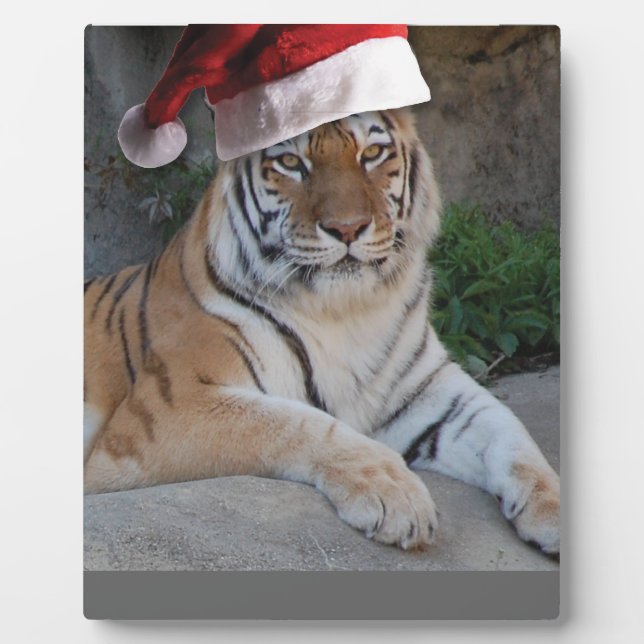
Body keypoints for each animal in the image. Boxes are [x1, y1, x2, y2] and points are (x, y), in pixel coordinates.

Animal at [84, 108, 560, 555]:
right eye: (291, 162)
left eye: (372, 153)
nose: (347, 228)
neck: (347, 310)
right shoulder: (168, 409)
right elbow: (296, 422)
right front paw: (396, 495)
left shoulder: (430, 390)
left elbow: (510, 432)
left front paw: (555, 510)